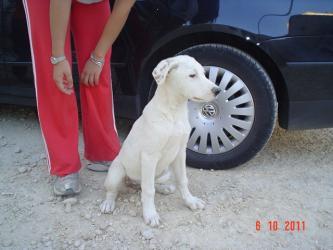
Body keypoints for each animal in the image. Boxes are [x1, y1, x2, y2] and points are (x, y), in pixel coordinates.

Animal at [100, 54, 222, 227]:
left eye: (204, 74)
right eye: (192, 75)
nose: (218, 90)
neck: (174, 112)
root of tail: (132, 182)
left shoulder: (180, 152)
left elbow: (182, 180)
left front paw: (190, 201)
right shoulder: (149, 156)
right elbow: (148, 190)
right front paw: (150, 214)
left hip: (164, 172)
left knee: (149, 184)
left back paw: (164, 188)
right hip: (117, 172)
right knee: (115, 190)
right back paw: (108, 203)